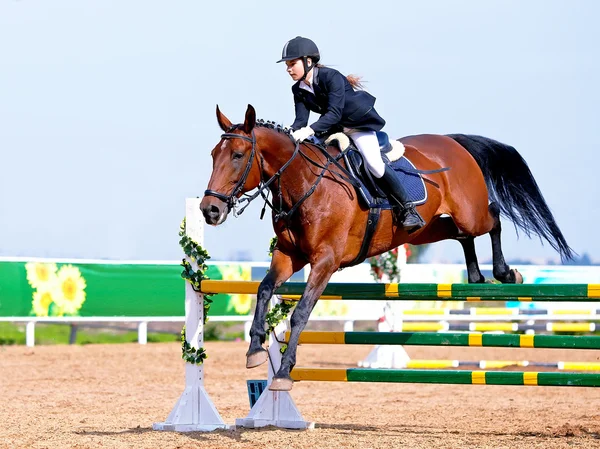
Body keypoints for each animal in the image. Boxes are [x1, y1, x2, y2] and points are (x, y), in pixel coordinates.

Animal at [200, 104, 572, 388]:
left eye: (238, 155)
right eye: (213, 155)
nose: (209, 210)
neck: (304, 183)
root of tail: (453, 142)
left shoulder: (325, 261)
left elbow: (301, 312)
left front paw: (285, 371)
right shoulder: (289, 256)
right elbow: (264, 289)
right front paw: (255, 350)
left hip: (470, 213)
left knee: (492, 218)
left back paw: (506, 274)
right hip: (426, 230)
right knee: (463, 235)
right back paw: (477, 276)